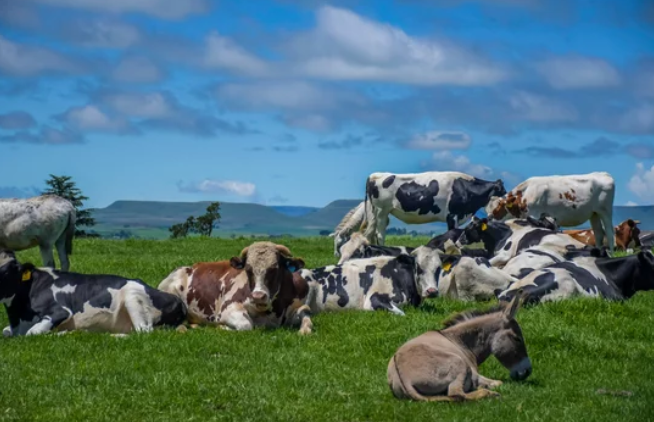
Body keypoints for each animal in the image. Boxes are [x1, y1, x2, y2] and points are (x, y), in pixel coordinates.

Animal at [0, 250, 187, 337]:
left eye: (8, 271)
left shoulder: (60, 311)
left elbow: (33, 332)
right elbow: (5, 331)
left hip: (133, 298)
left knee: (143, 331)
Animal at [157, 241, 313, 334]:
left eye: (274, 269)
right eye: (248, 269)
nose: (258, 296)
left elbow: (306, 313)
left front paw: (305, 329)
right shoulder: (228, 308)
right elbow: (246, 325)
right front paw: (221, 326)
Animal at [363, 171, 506, 246]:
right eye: (501, 195)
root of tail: (375, 175)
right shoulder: (452, 215)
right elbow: (452, 233)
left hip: (376, 213)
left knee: (369, 234)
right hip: (381, 211)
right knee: (379, 234)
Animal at [485, 172, 616, 252]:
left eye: (497, 209)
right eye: (487, 209)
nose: (488, 220)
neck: (525, 193)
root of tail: (603, 173)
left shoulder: (535, 215)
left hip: (606, 211)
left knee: (609, 233)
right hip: (594, 213)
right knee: (598, 233)